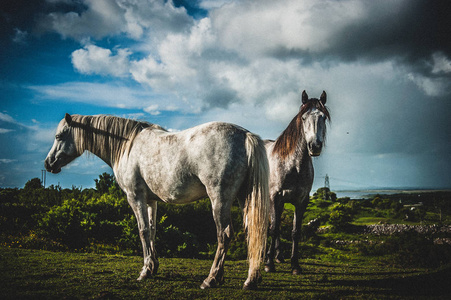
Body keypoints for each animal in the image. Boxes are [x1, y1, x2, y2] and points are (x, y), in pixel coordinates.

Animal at [44, 113, 270, 290]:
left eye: (59, 136)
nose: (48, 163)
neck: (127, 145)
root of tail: (244, 135)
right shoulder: (151, 201)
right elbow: (152, 231)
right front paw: (153, 267)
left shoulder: (135, 197)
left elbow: (142, 231)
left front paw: (145, 271)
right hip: (243, 198)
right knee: (252, 231)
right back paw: (251, 280)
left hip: (219, 199)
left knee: (224, 234)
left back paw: (211, 279)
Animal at [264, 91, 330, 274]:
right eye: (304, 117)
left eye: (323, 117)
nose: (314, 146)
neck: (293, 165)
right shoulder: (275, 198)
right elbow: (274, 229)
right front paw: (269, 264)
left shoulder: (301, 201)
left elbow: (295, 231)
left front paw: (295, 264)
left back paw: (278, 256)